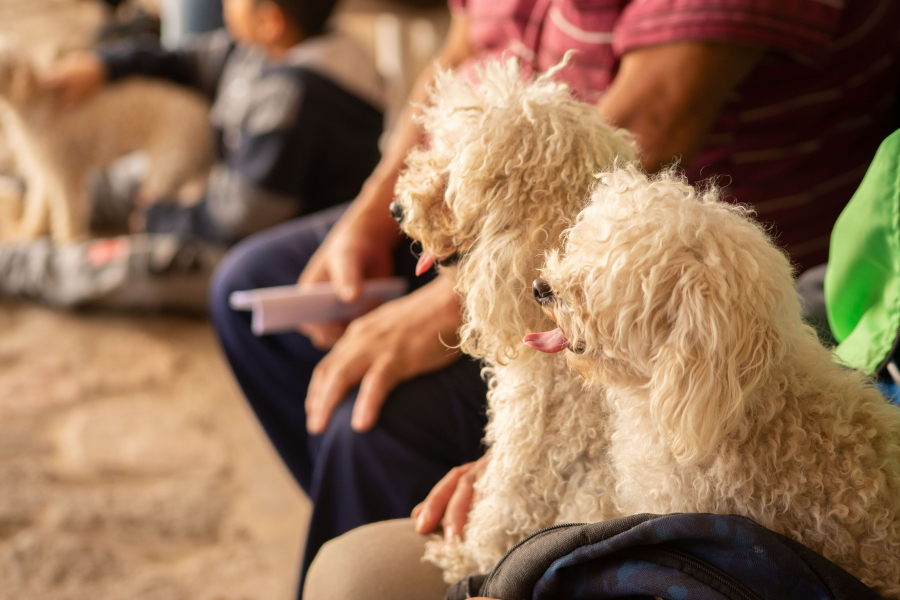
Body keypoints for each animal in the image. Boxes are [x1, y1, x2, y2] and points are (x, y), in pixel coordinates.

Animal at [0, 51, 213, 243]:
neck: (34, 103)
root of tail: (205, 114)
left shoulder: (66, 170)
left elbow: (70, 209)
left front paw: (71, 238)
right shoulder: (44, 169)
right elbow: (38, 206)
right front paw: (29, 232)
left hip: (169, 163)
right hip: (188, 165)